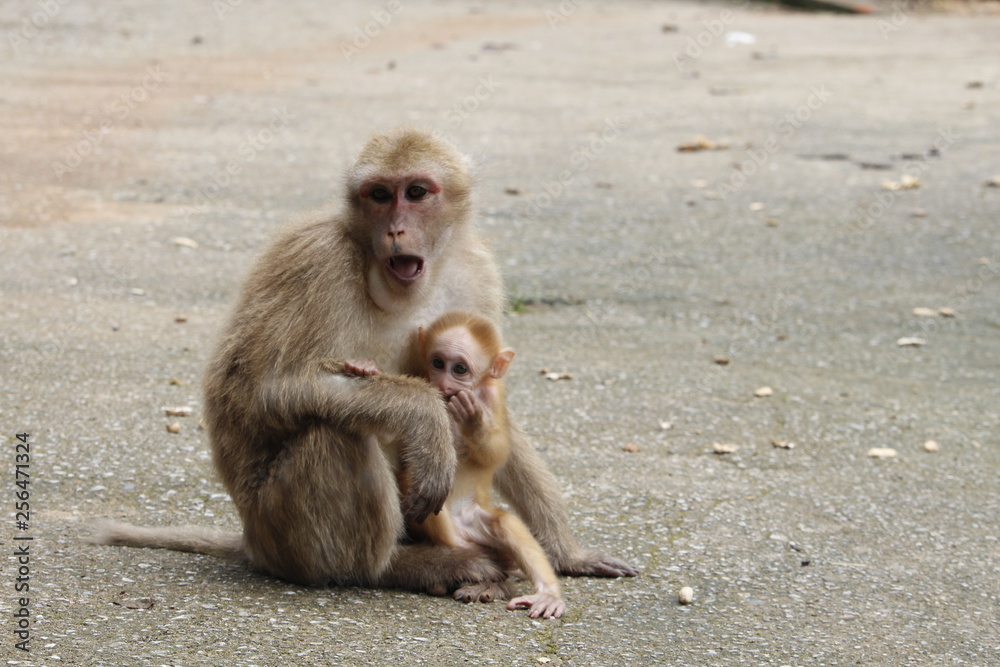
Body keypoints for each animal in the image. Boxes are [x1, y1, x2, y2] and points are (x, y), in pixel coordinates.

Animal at [92, 127, 638, 598]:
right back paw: (398, 568)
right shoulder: (315, 261)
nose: (396, 229)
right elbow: (266, 389)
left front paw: (568, 554)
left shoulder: (476, 271)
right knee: (337, 432)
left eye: (416, 192)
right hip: (280, 528)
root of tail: (252, 540)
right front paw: (425, 417)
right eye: (379, 195)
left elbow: (493, 404)